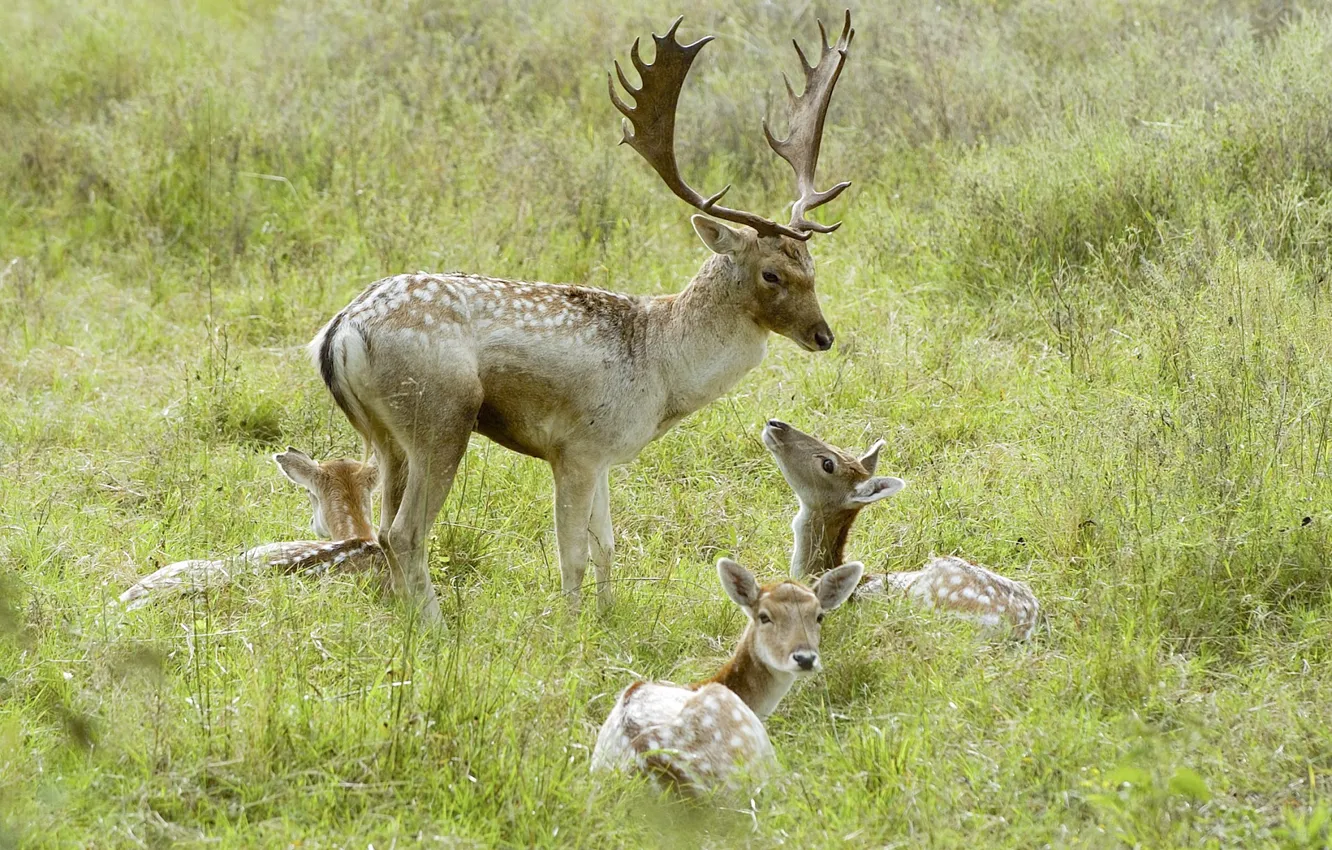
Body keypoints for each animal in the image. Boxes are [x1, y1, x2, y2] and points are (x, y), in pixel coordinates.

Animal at [308, 13, 856, 621]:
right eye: (771, 275)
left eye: (812, 266)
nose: (823, 336)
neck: (662, 368)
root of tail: (341, 331)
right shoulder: (576, 447)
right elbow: (571, 551)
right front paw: (572, 628)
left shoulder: (606, 457)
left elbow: (606, 545)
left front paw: (607, 616)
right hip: (441, 416)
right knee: (404, 532)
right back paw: (436, 625)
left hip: (387, 436)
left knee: (385, 530)